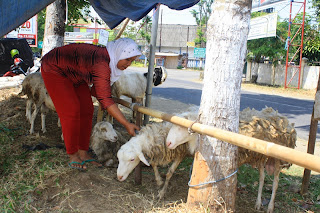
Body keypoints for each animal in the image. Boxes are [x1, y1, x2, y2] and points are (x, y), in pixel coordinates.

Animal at [166, 107, 296, 213]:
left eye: (181, 126)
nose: (168, 143)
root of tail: (280, 116)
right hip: (260, 157)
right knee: (262, 177)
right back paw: (258, 203)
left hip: (278, 159)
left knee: (276, 182)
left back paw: (270, 206)